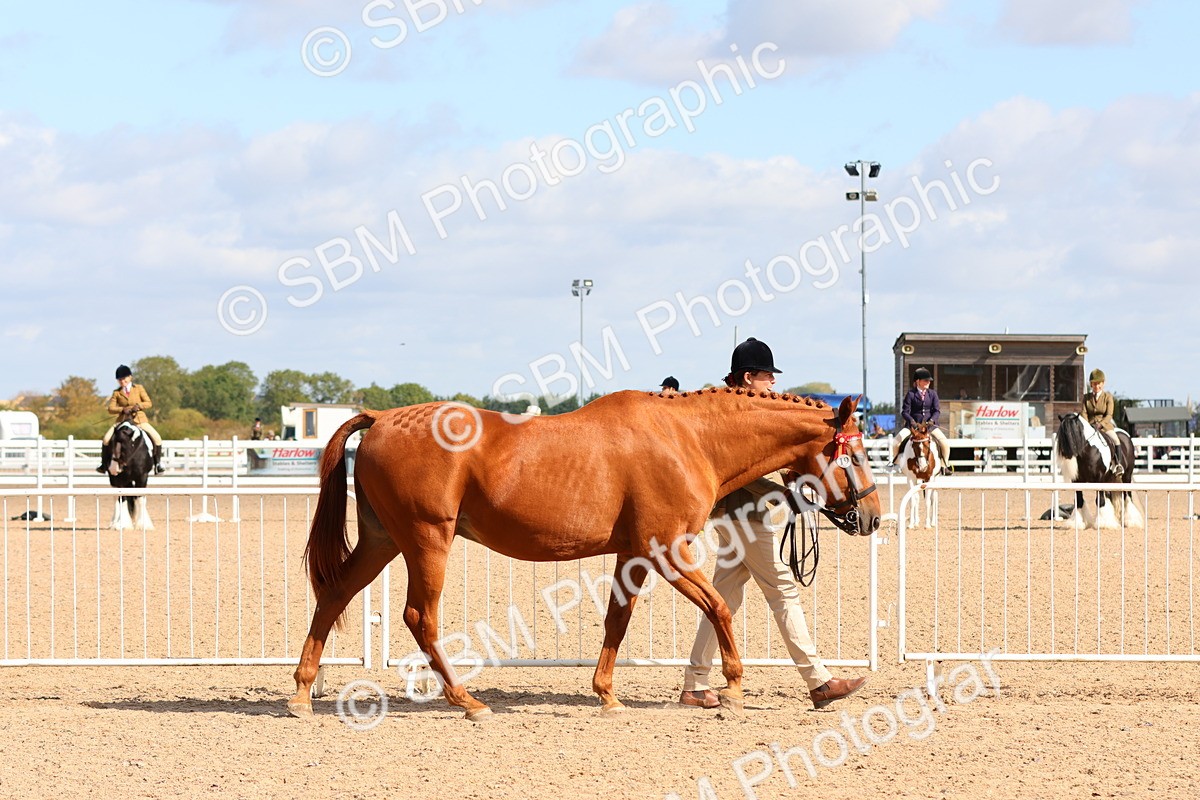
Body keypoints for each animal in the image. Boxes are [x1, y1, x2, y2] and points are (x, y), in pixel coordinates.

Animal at [287, 389, 882, 720]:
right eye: (854, 453)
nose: (873, 517)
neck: (687, 437)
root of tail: (383, 418)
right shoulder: (668, 551)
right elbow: (718, 607)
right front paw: (733, 689)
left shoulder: (633, 556)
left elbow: (618, 620)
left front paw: (607, 695)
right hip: (427, 540)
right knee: (419, 616)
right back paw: (467, 702)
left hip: (383, 541)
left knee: (335, 594)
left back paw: (301, 694)